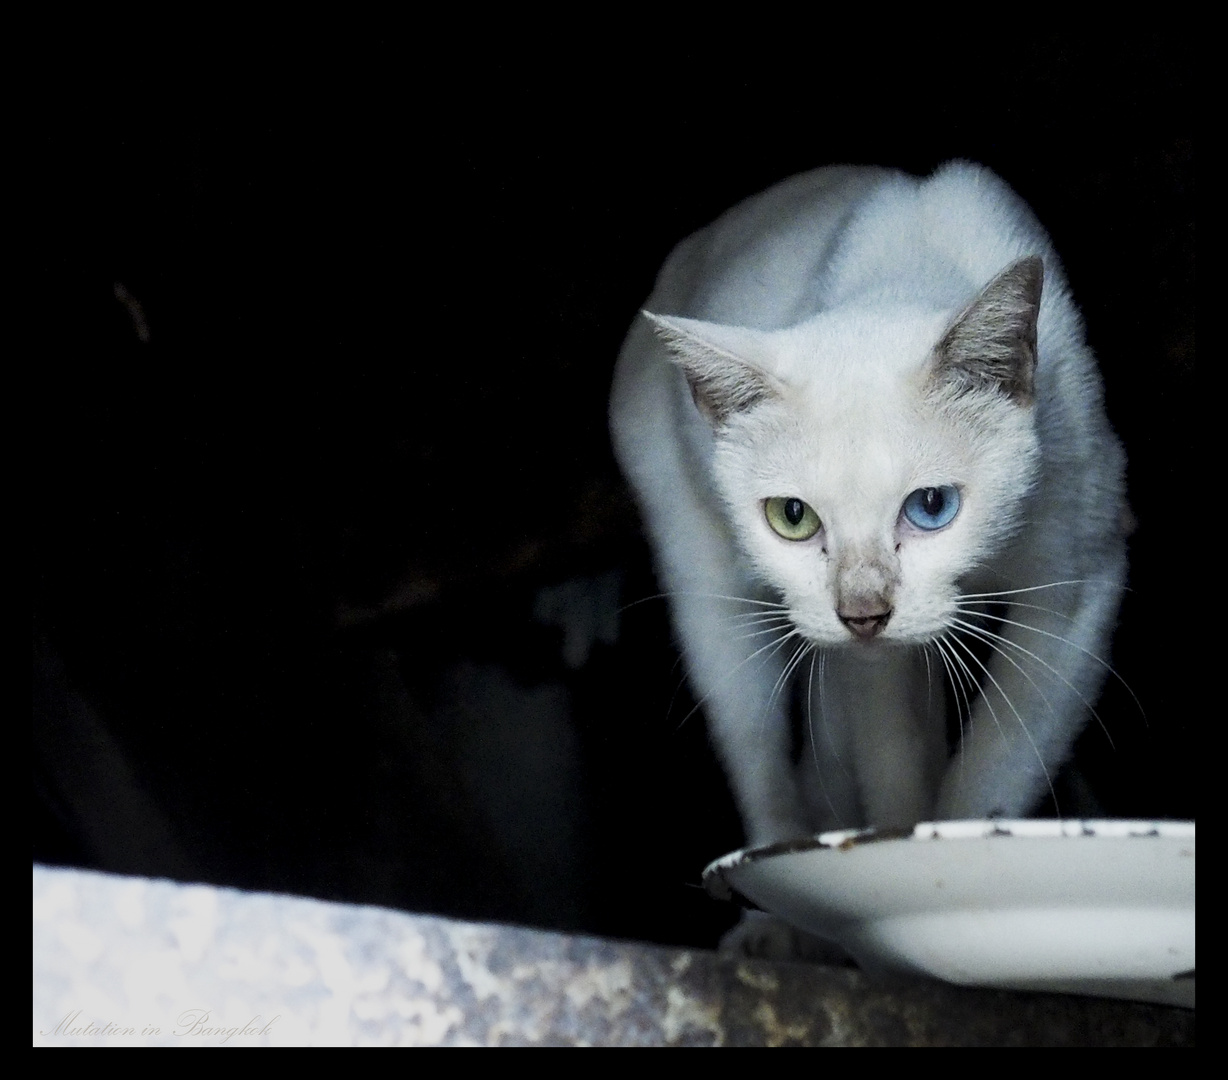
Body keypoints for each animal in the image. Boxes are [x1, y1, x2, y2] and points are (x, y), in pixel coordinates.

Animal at [609, 162, 1124, 845]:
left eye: (931, 505)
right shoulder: (867, 666)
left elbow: (996, 772)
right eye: (792, 517)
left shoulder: (1074, 599)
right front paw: (895, 850)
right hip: (715, 605)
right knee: (763, 763)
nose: (862, 615)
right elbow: (893, 774)